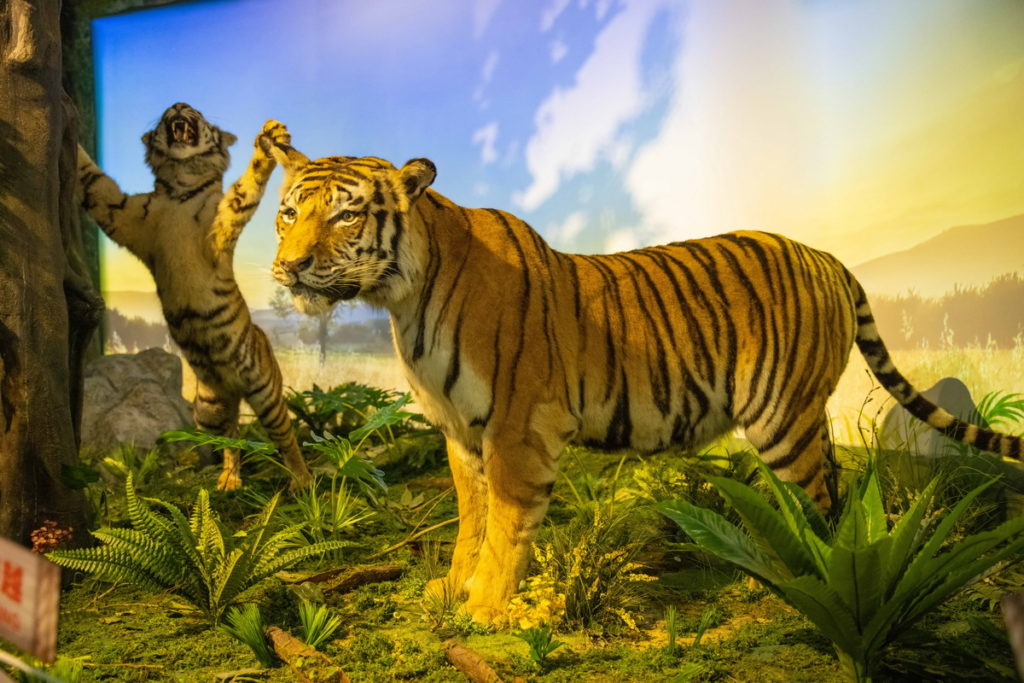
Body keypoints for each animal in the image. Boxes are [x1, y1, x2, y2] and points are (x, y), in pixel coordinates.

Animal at [77, 103, 312, 490]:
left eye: (197, 112)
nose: (179, 105)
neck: (180, 189)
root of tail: (233, 388)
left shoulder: (222, 220)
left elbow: (245, 189)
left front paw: (268, 141)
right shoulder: (120, 210)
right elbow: (90, 178)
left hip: (265, 391)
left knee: (286, 437)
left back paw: (303, 481)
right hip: (207, 408)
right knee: (231, 436)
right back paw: (229, 480)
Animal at [262, 141, 1024, 625]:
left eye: (346, 214)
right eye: (288, 212)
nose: (289, 267)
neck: (403, 297)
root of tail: (828, 254)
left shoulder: (517, 427)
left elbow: (505, 524)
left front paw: (483, 608)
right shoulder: (458, 432)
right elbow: (470, 520)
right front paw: (452, 588)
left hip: (784, 415)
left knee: (825, 501)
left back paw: (811, 584)